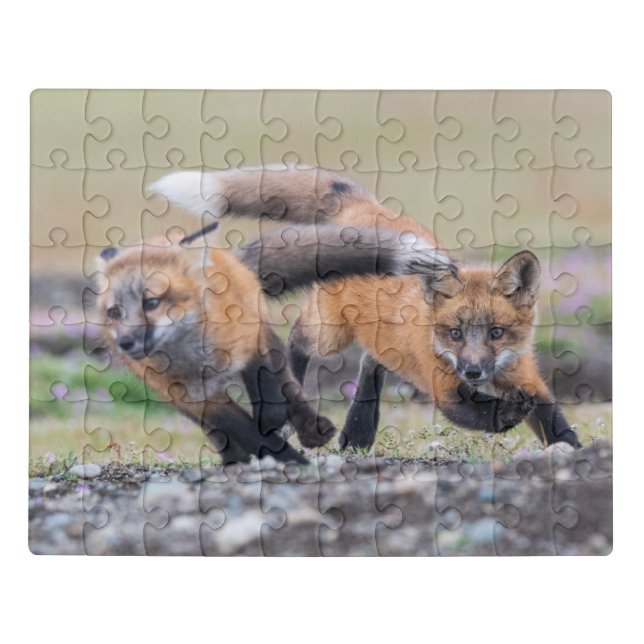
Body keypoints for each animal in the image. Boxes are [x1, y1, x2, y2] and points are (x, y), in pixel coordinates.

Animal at [95, 210, 454, 464]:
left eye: (151, 302)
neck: (196, 356)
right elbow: (240, 429)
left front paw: (284, 431)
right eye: (115, 312)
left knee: (290, 380)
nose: (125, 343)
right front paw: (283, 458)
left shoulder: (253, 344)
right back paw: (237, 458)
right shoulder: (192, 396)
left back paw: (311, 429)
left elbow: (270, 395)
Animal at [153, 166, 581, 451]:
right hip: (330, 333)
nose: (474, 370)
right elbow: (477, 414)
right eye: (455, 333)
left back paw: (357, 433)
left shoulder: (528, 378)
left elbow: (555, 422)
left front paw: (574, 453)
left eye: (496, 332)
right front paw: (507, 415)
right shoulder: (444, 387)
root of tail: (366, 207)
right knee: (299, 340)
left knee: (371, 364)